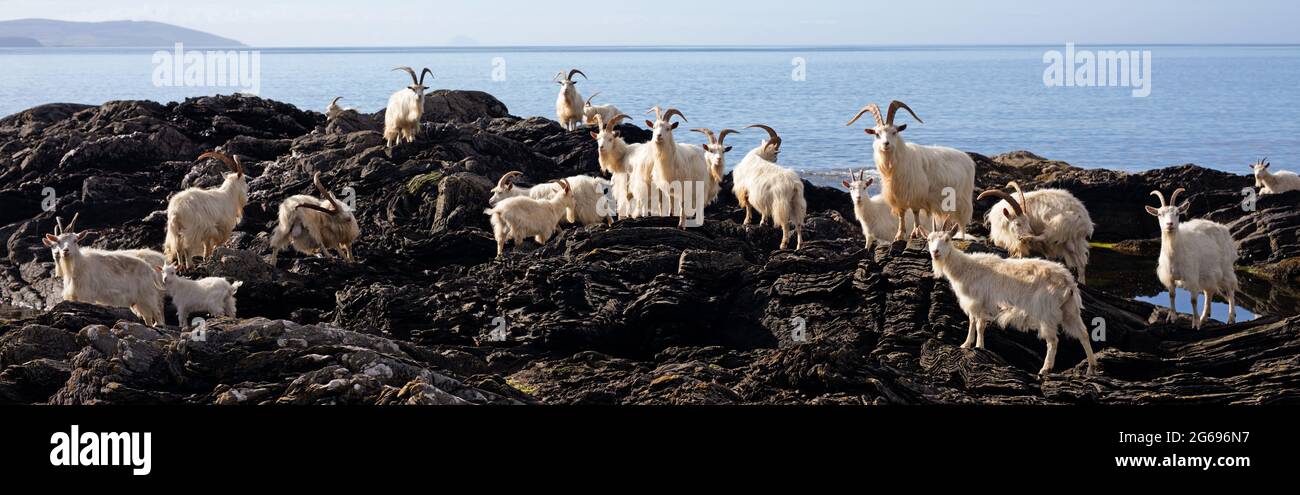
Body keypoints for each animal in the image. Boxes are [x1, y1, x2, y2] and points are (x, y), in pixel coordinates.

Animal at [847, 98, 972, 241]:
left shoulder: (915, 193)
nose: (886, 144)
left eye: (894, 132)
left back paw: (961, 237)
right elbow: (901, 215)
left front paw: (916, 232)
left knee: (962, 223)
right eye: (877, 134)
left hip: (962, 201)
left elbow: (915, 212)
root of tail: (967, 158)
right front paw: (900, 234)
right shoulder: (898, 196)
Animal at [925, 223, 1097, 374]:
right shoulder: (973, 304)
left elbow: (979, 325)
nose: (935, 252)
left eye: (947, 239)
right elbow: (972, 322)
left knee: (1053, 341)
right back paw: (1091, 368)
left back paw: (1045, 369)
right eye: (929, 239)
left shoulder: (979, 301)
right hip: (1070, 310)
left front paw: (979, 347)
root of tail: (1068, 283)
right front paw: (966, 344)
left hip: (1047, 312)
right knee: (1083, 334)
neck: (966, 267)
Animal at [1149, 187, 1237, 326]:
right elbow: (1172, 295)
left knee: (1230, 289)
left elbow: (1193, 300)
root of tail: (1222, 227)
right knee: (1209, 292)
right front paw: (1172, 317)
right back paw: (1204, 317)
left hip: (1226, 267)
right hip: (1207, 271)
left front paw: (1195, 323)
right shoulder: (1170, 277)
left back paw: (1230, 317)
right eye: (1159, 214)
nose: (1169, 224)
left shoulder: (1192, 277)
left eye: (1177, 213)